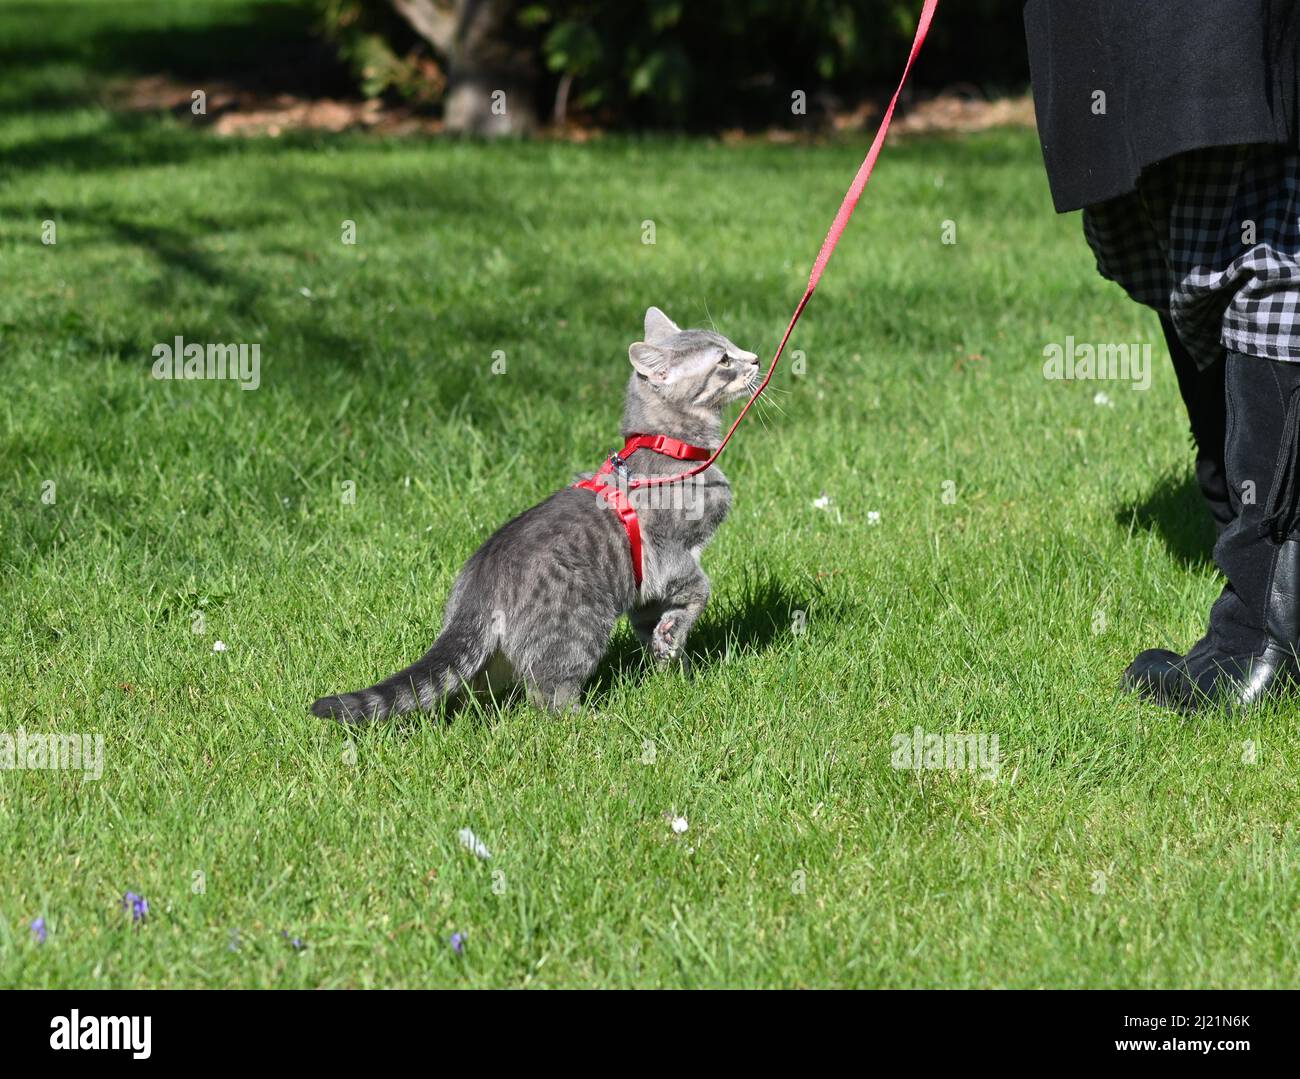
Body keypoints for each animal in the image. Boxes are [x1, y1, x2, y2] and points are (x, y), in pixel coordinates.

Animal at [309, 306, 759, 728]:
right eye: (724, 360)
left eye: (732, 347)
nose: (754, 358)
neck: (670, 446)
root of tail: (478, 587)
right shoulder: (669, 555)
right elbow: (700, 587)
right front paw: (675, 642)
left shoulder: (644, 588)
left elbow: (658, 625)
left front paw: (673, 661)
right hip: (577, 631)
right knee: (549, 693)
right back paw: (589, 718)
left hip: (494, 660)